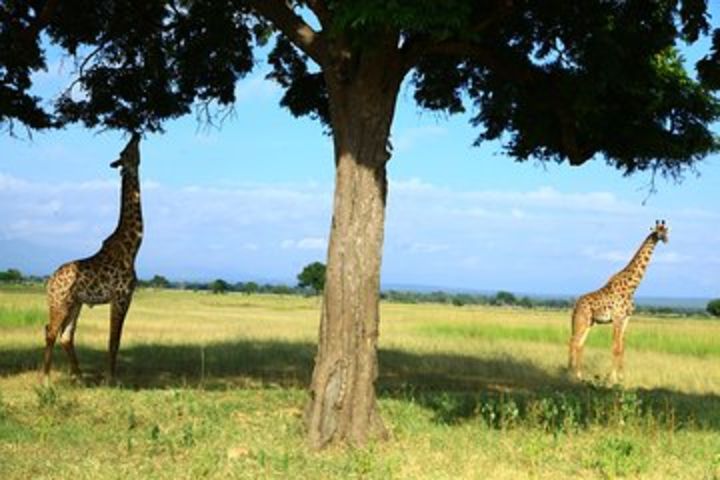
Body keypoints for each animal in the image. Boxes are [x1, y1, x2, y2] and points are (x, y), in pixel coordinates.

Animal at [43, 134, 143, 382]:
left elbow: (115, 340)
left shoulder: (124, 298)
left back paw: (79, 377)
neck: (132, 248)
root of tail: (49, 281)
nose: (136, 133)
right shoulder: (121, 297)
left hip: (75, 303)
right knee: (50, 331)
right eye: (126, 151)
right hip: (59, 302)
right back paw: (45, 379)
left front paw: (109, 378)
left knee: (66, 335)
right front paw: (111, 380)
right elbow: (114, 340)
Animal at [568, 220, 668, 382]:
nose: (665, 239)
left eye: (666, 230)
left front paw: (621, 376)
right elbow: (615, 347)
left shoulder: (626, 319)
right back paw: (570, 373)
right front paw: (612, 377)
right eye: (658, 231)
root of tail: (575, 305)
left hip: (589, 322)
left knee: (579, 344)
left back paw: (578, 374)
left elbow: (621, 347)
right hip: (581, 320)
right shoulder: (617, 318)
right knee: (573, 342)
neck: (631, 287)